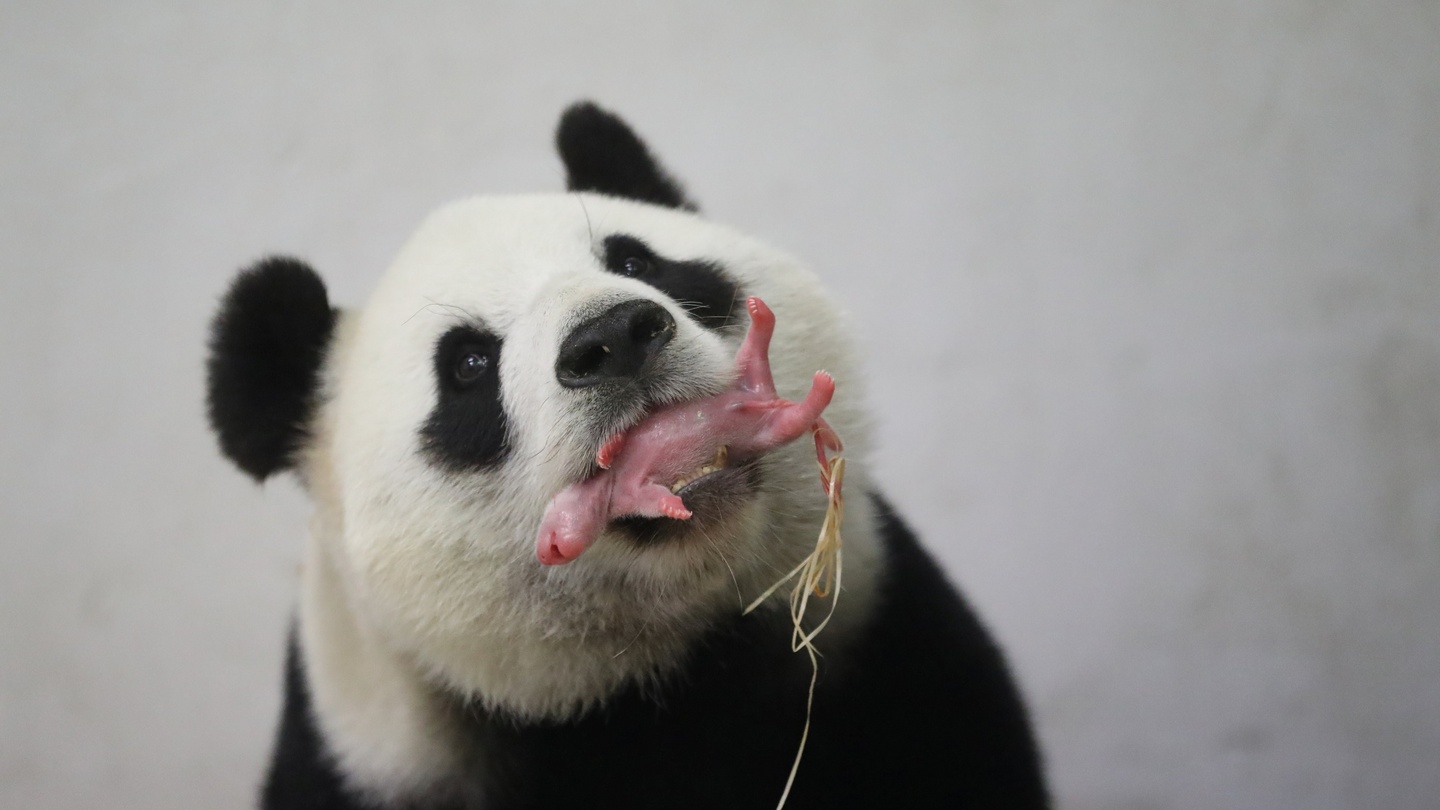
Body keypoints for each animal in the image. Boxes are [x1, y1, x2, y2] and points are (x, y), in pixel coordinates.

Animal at [205, 102, 1048, 807]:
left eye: (637, 261)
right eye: (468, 364)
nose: (611, 338)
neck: (656, 676)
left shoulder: (890, 650)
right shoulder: (371, 753)